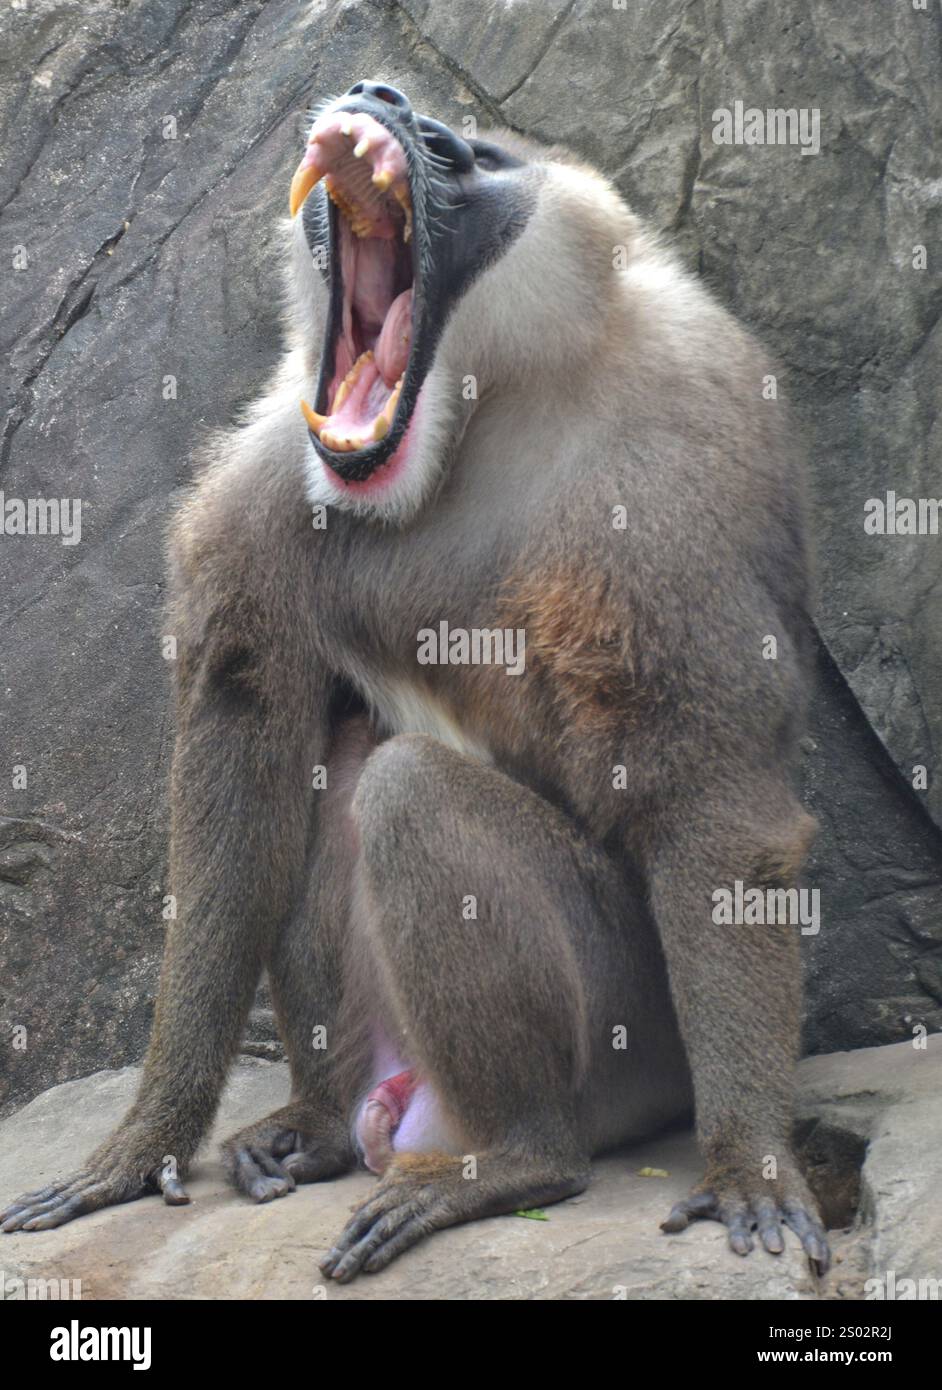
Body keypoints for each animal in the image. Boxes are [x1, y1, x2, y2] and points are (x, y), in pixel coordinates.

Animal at [1, 80, 830, 1284]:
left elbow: (716, 806)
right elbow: (242, 775)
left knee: (409, 791)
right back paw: (315, 1123)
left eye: (456, 148)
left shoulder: (681, 448)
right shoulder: (267, 478)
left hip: (630, 1038)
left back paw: (516, 1158)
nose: (375, 95)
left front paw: (752, 1171)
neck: (483, 408)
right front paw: (142, 1143)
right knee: (339, 762)